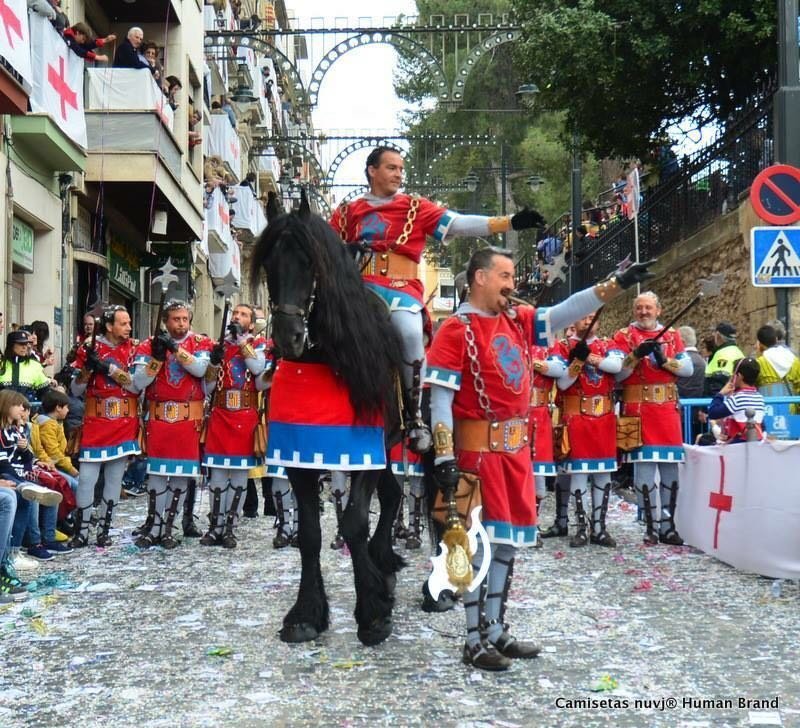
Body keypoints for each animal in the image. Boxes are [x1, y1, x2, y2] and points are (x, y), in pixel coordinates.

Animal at [251, 192, 407, 646]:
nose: (288, 337)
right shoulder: (301, 459)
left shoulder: (364, 455)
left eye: (309, 262)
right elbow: (309, 534)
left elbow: (353, 522)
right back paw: (381, 564)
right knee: (393, 494)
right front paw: (306, 612)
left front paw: (371, 612)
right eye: (269, 262)